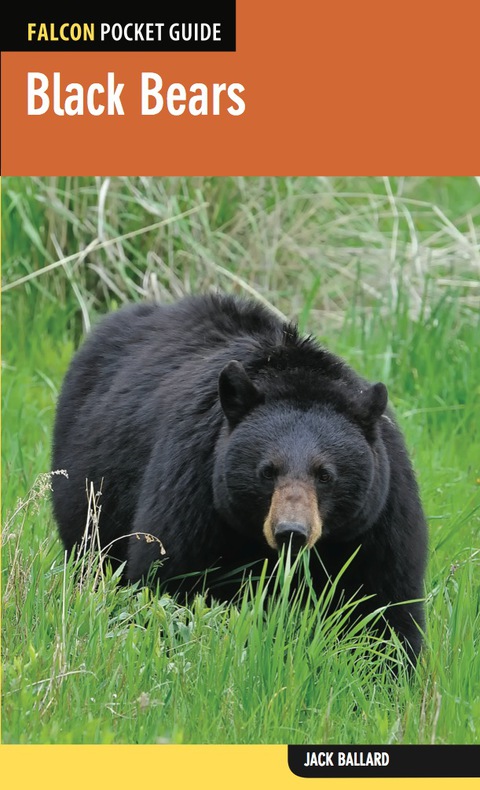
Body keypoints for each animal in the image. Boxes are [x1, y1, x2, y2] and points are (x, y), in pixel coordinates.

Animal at [51, 291, 428, 664]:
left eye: (325, 474)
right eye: (267, 470)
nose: (292, 532)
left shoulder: (379, 516)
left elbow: (384, 605)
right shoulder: (194, 481)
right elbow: (170, 577)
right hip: (91, 486)